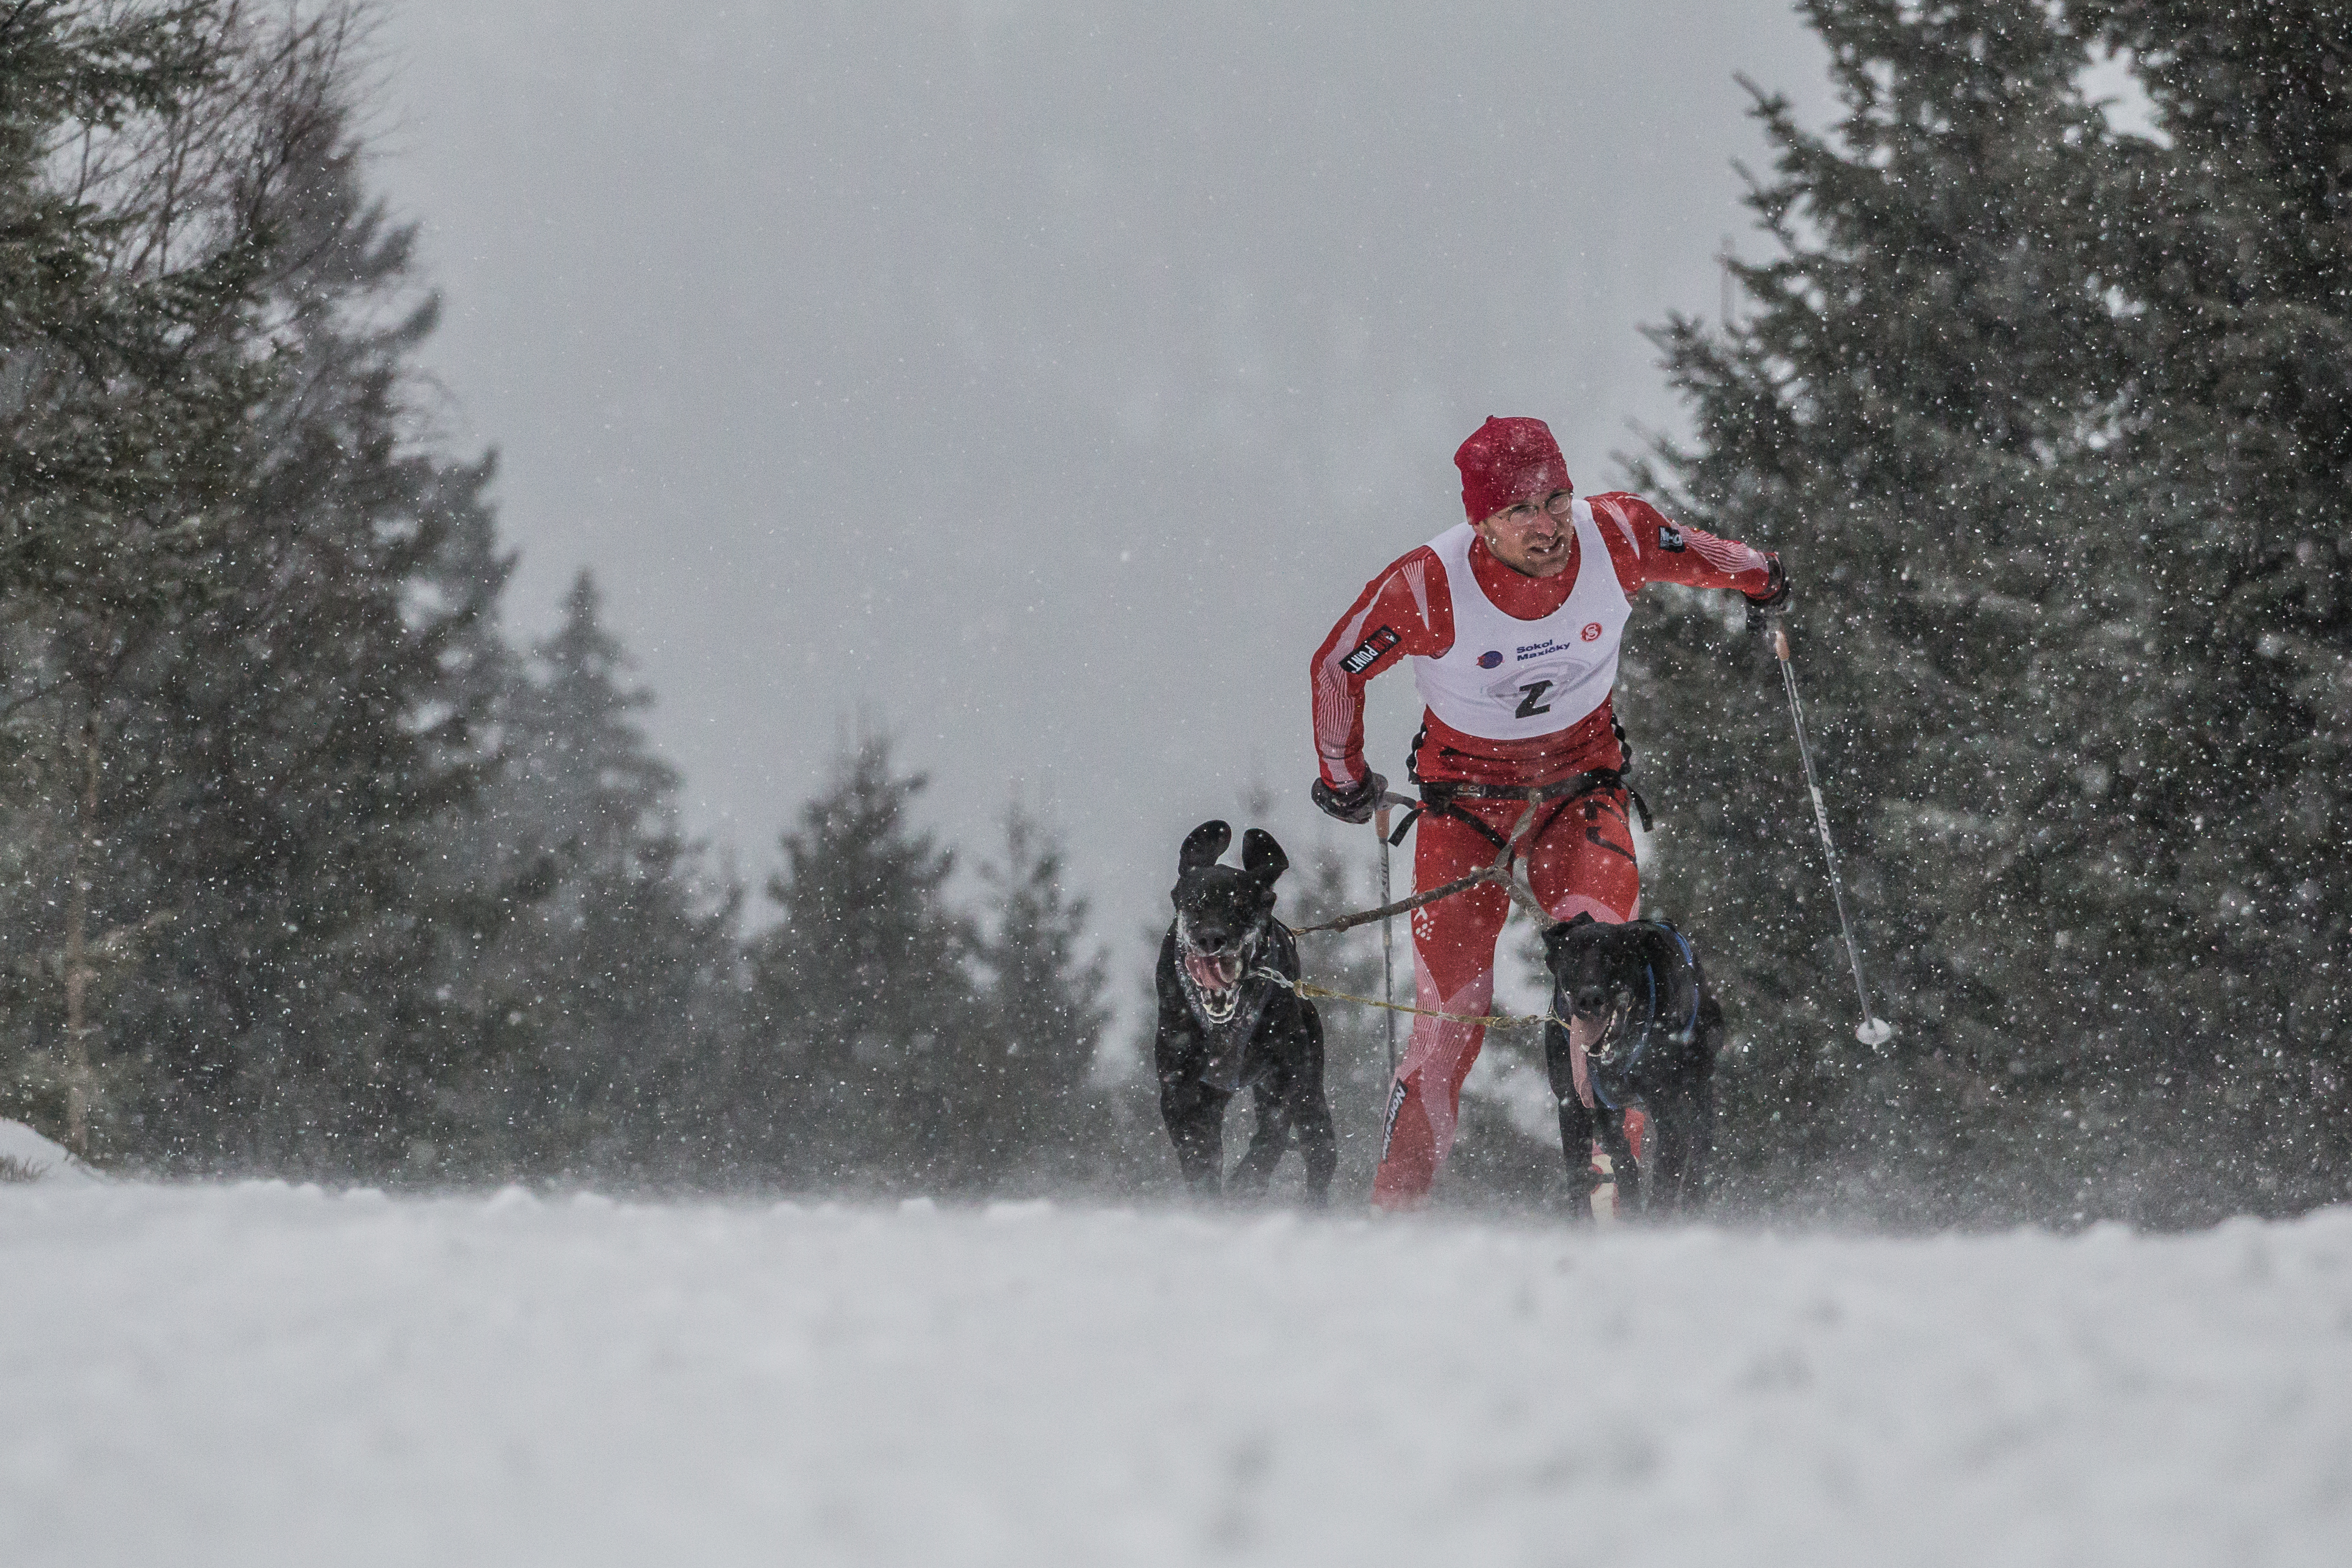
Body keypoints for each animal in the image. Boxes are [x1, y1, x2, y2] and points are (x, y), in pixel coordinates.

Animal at [1148, 823, 1336, 1204]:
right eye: (1195, 904)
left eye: (1241, 905)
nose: (1211, 939)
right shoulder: (1180, 1085)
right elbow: (1199, 1150)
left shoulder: (1289, 1070)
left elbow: (1277, 1133)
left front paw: (1248, 1179)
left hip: (1307, 1085)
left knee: (1316, 1144)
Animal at [1543, 912, 1731, 1222]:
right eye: (1573, 958)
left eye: (1616, 958)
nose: (1590, 997)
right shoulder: (1571, 1104)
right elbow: (1581, 1181)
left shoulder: (1671, 1114)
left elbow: (1664, 1188)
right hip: (1606, 1116)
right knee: (1621, 1157)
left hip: (1699, 1085)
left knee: (1700, 1148)